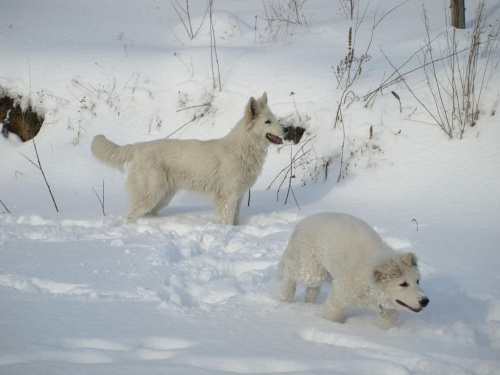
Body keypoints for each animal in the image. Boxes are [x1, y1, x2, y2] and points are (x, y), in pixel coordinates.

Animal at [90, 92, 286, 225]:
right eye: (267, 122)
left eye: (275, 119)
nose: (287, 129)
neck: (241, 149)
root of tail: (139, 147)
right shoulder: (227, 198)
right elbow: (227, 222)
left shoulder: (238, 197)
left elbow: (235, 221)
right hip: (152, 195)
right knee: (130, 216)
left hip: (162, 198)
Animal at [278, 213, 430, 330]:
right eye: (403, 284)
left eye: (417, 281)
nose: (425, 301)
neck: (369, 284)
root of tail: (303, 222)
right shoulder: (339, 296)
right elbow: (332, 316)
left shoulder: (388, 311)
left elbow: (388, 326)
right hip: (312, 270)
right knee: (289, 268)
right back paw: (285, 296)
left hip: (323, 272)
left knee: (312, 286)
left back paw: (309, 299)